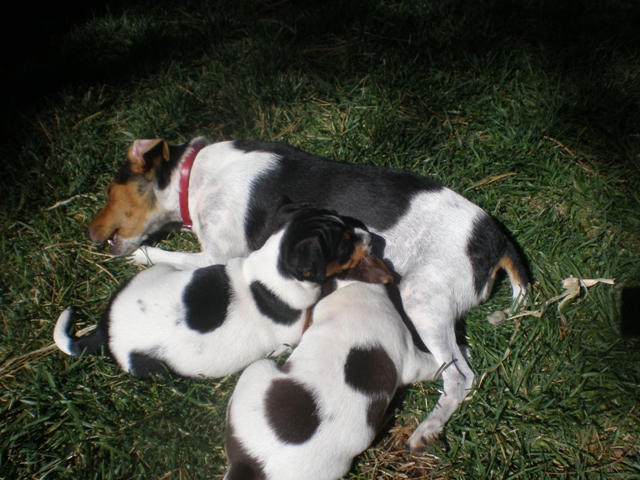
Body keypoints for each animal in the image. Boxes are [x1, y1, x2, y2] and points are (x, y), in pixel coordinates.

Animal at [58, 205, 376, 378]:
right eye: (344, 244)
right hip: (152, 367)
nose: (371, 236)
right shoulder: (290, 339)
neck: (272, 272)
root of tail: (105, 329)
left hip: (154, 274)